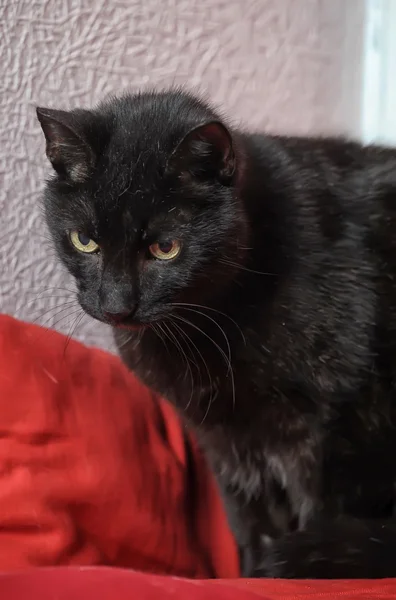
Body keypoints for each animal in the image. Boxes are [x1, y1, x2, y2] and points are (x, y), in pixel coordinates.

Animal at [38, 91, 396, 580]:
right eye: (84, 241)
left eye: (165, 248)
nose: (115, 304)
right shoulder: (221, 440)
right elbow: (248, 524)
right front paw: (251, 575)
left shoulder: (320, 431)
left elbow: (313, 511)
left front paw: (285, 574)